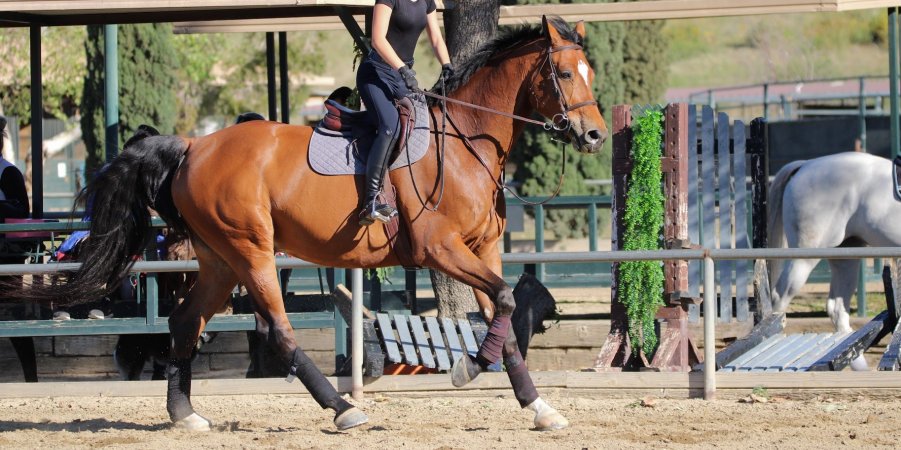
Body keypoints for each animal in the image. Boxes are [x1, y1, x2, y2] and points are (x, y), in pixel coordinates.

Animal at [11, 16, 606, 431]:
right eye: (562, 73)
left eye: (590, 72)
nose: (596, 135)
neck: (466, 139)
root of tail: (193, 147)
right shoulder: (441, 249)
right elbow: (504, 303)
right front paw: (468, 371)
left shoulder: (482, 251)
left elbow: (503, 316)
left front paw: (538, 407)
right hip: (252, 250)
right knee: (276, 329)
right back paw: (343, 409)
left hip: (219, 259)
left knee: (185, 322)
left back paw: (187, 416)